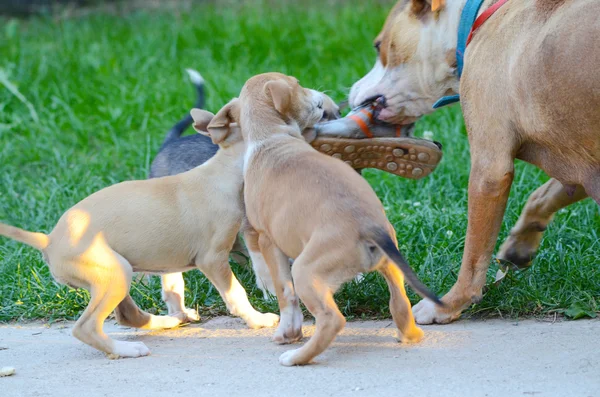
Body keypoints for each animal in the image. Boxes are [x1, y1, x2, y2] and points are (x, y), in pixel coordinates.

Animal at [0, 103, 278, 358]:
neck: (222, 171)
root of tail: (47, 240)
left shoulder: (171, 258)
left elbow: (174, 286)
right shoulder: (212, 258)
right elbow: (236, 293)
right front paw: (258, 319)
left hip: (112, 276)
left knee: (127, 316)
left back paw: (170, 321)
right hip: (115, 273)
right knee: (86, 327)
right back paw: (126, 349)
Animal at [350, 0, 600, 324]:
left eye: (379, 46)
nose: (350, 92)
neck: (474, 20)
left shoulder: (489, 169)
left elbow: (474, 255)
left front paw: (446, 305)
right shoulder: (581, 163)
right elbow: (542, 196)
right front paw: (519, 245)